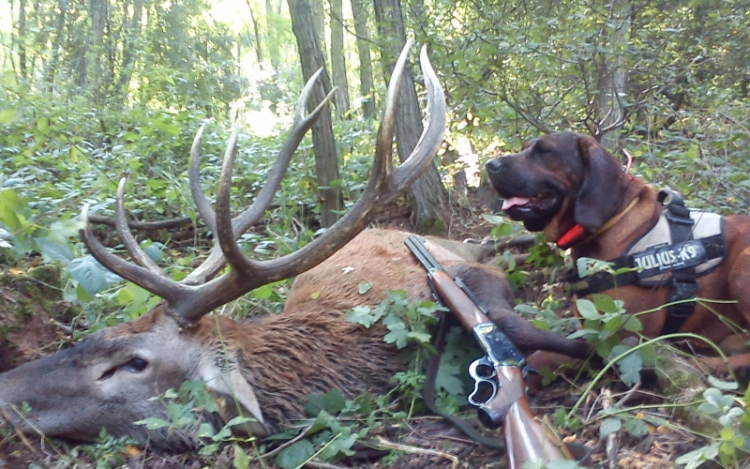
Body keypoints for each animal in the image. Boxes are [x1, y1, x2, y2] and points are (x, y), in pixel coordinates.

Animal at [484, 130, 748, 378]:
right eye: (525, 148)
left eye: (545, 151)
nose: (489, 165)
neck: (612, 221)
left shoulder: (614, 336)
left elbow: (545, 356)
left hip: (741, 269)